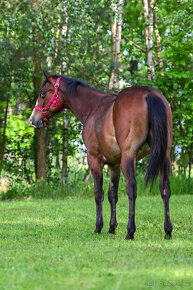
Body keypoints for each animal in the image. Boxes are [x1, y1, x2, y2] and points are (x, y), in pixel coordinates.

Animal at [29, 71, 173, 240]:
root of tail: (149, 94)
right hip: (164, 155)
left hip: (129, 156)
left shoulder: (94, 159)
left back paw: (130, 231)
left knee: (132, 189)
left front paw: (98, 227)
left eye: (42, 93)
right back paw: (168, 230)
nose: (33, 119)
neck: (93, 107)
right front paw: (112, 228)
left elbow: (99, 193)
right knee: (165, 189)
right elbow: (113, 195)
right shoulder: (114, 164)